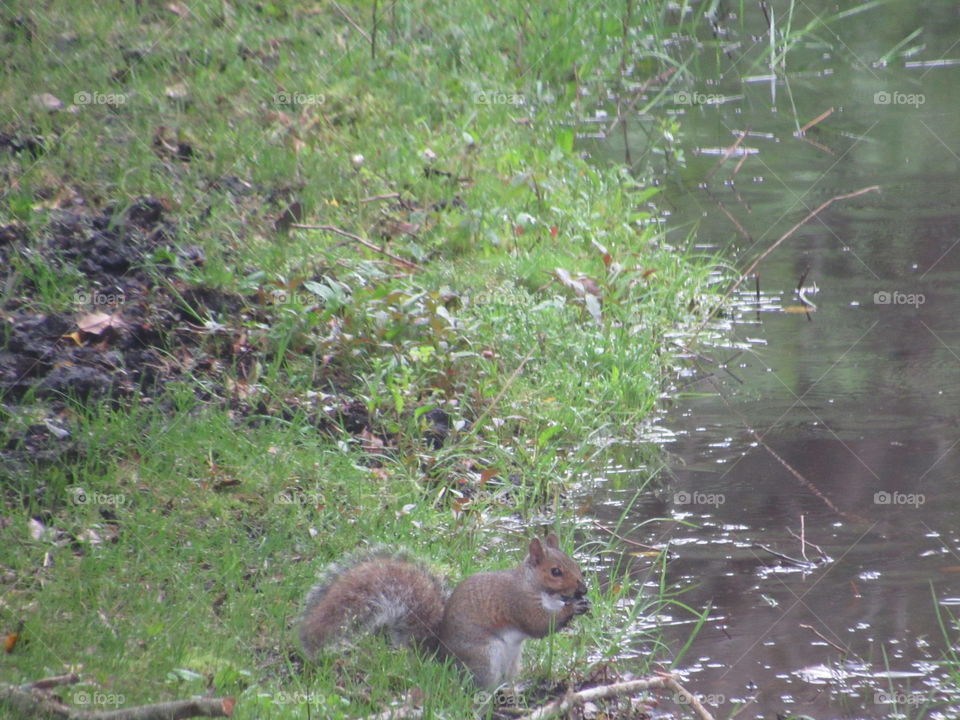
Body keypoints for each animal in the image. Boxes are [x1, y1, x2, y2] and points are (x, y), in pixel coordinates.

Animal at [298, 532, 590, 689]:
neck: (537, 588)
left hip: (512, 659)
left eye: (575, 564)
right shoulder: (517, 602)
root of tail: (439, 657)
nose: (583, 589)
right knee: (479, 684)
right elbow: (538, 625)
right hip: (484, 655)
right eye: (555, 571)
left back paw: (515, 688)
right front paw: (571, 609)